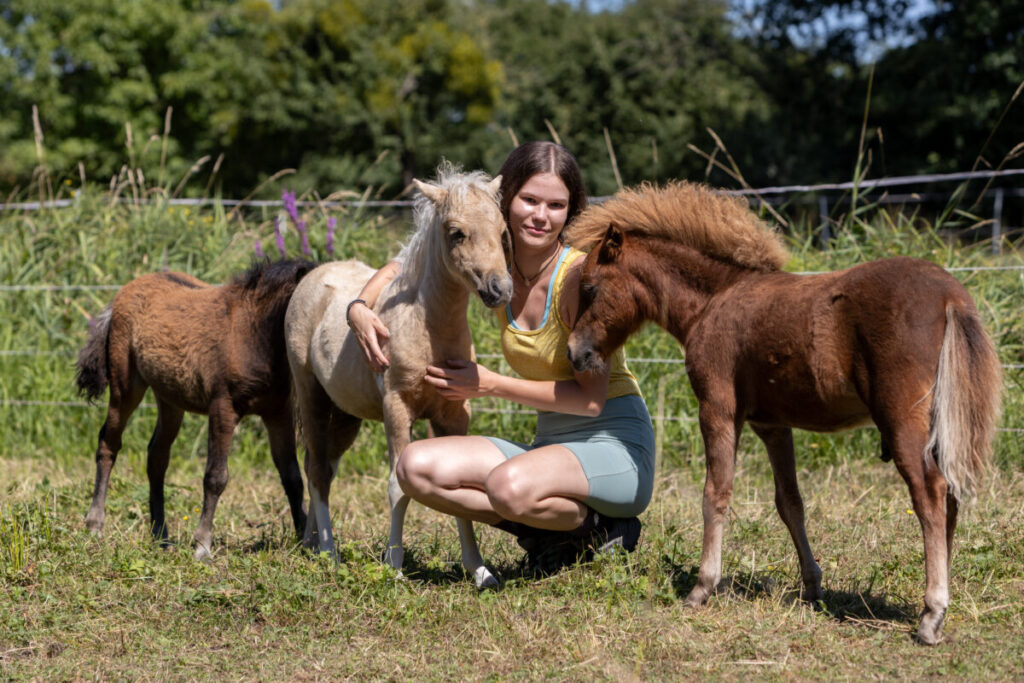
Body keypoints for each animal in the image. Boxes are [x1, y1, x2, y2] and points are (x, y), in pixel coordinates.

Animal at [76, 258, 316, 560]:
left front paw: (305, 540)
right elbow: (216, 477)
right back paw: (95, 524)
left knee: (157, 457)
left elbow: (292, 477)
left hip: (169, 400)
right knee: (108, 444)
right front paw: (202, 546)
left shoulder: (277, 413)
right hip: (125, 388)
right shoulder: (223, 409)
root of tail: (121, 294)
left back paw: (160, 536)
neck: (253, 335)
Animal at [285, 165, 512, 589]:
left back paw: (311, 543)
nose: (500, 289)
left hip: (345, 414)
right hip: (310, 394)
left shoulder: (455, 414)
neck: (429, 329)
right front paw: (393, 567)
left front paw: (479, 570)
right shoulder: (397, 407)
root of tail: (313, 273)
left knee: (319, 465)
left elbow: (461, 490)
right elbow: (397, 486)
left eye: (503, 229)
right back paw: (329, 552)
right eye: (456, 232)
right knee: (318, 471)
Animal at [564, 182, 1002, 645]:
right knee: (950, 496)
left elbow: (715, 494)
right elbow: (789, 501)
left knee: (931, 495)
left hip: (902, 422)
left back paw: (931, 614)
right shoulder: (773, 425)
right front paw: (812, 585)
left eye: (589, 288)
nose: (575, 353)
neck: (712, 302)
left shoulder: (717, 410)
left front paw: (702, 588)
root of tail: (950, 296)